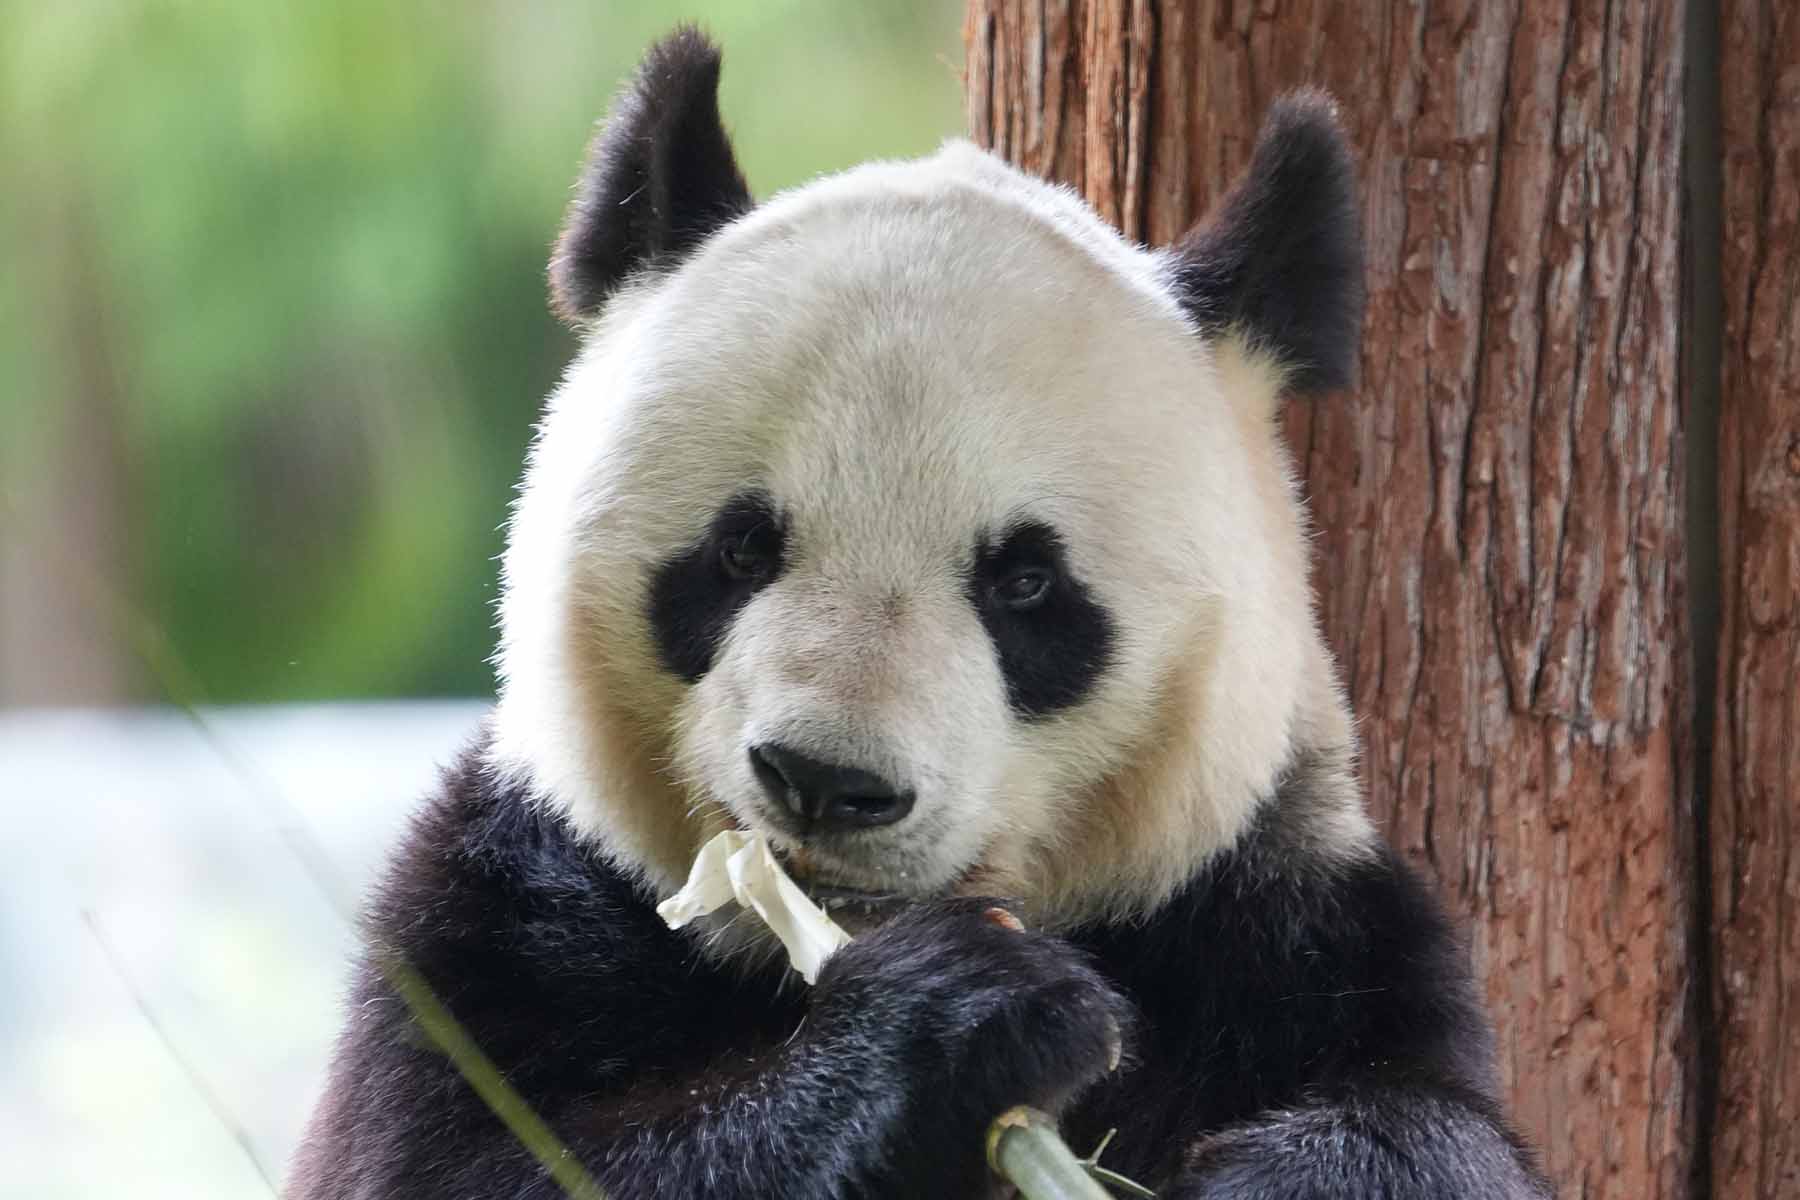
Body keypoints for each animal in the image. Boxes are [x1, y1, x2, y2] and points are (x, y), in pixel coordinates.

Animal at [289, 28, 1551, 1200]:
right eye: (740, 548)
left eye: (1024, 583)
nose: (824, 782)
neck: (805, 951)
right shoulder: (505, 916)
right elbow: (459, 1160)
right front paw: (962, 1023)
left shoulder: (1281, 926)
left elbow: (1426, 1119)